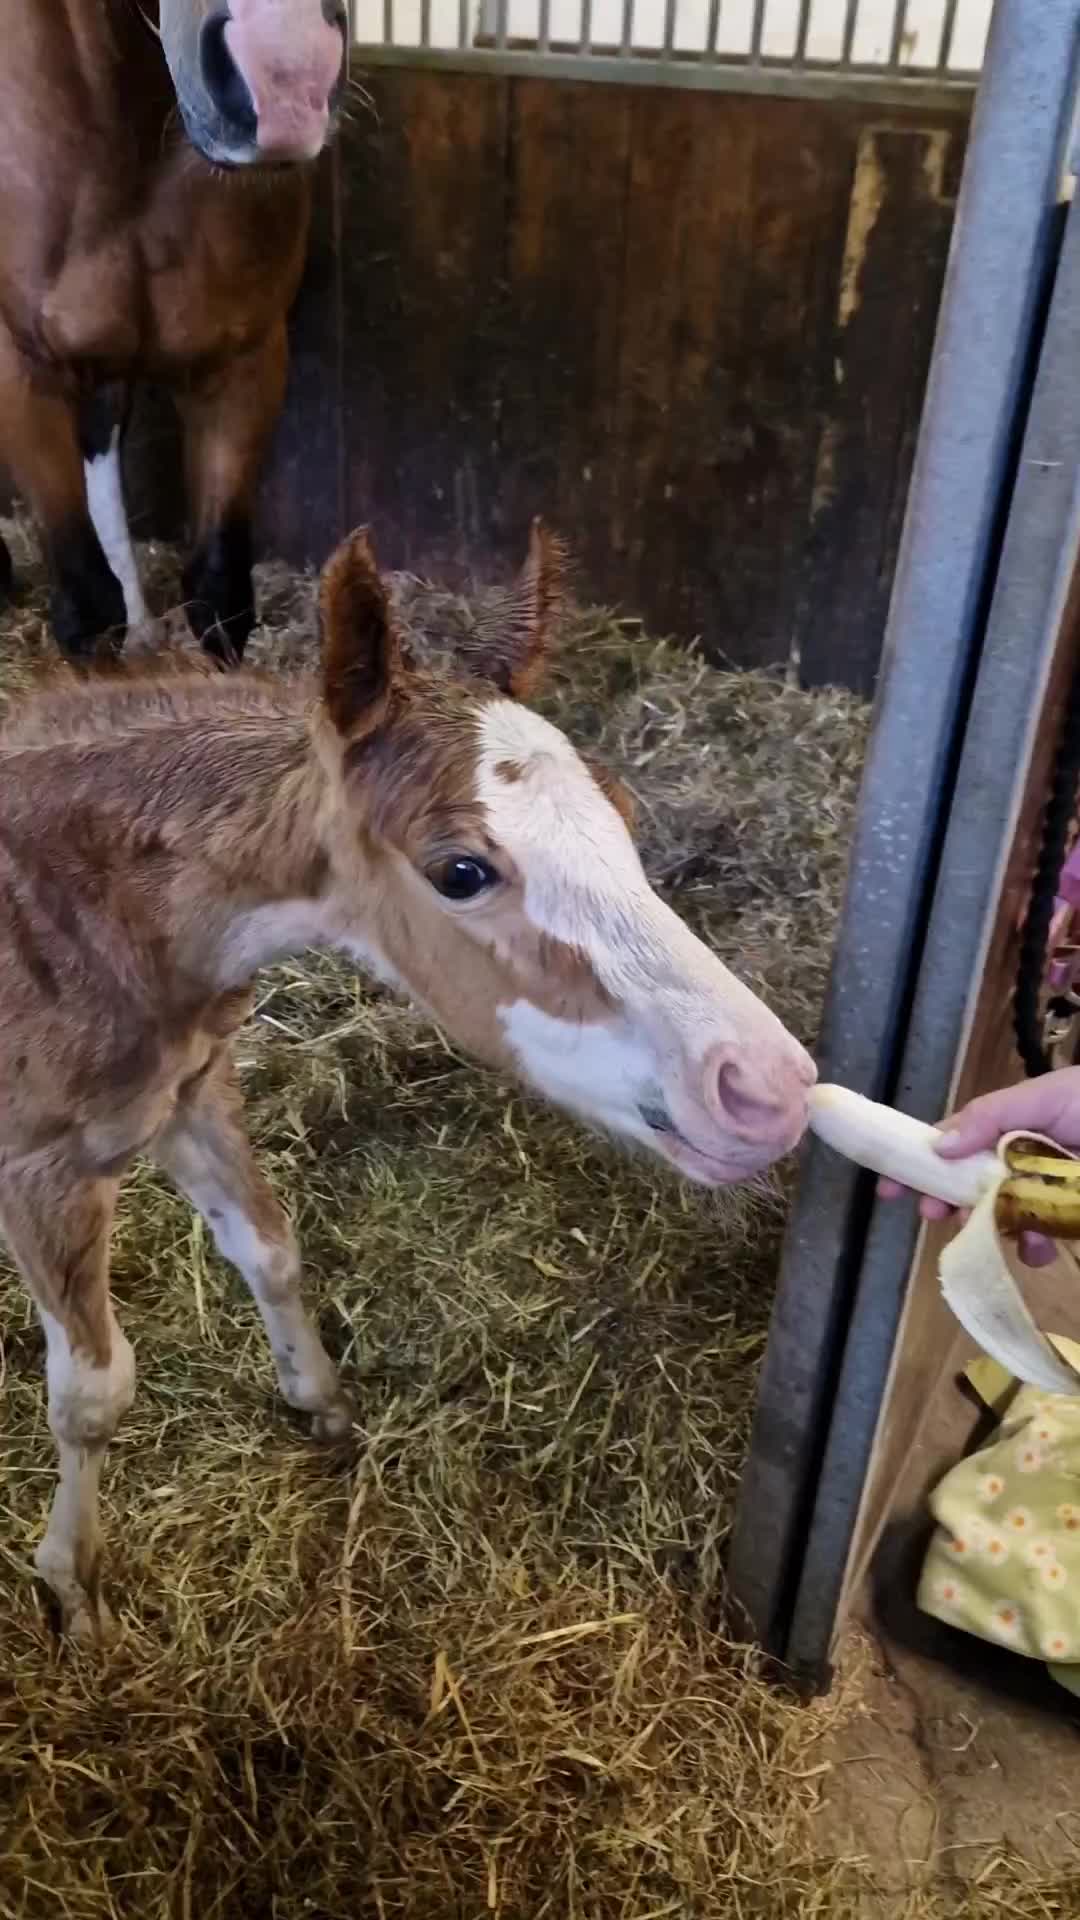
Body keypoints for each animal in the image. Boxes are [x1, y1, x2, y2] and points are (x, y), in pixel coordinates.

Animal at [0, 526, 807, 1635]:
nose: (768, 1087)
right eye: (460, 871)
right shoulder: (41, 1171)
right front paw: (72, 1584)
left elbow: (270, 1248)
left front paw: (322, 1402)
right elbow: (92, 1393)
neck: (83, 914)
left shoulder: (189, 1087)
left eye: (623, 815)